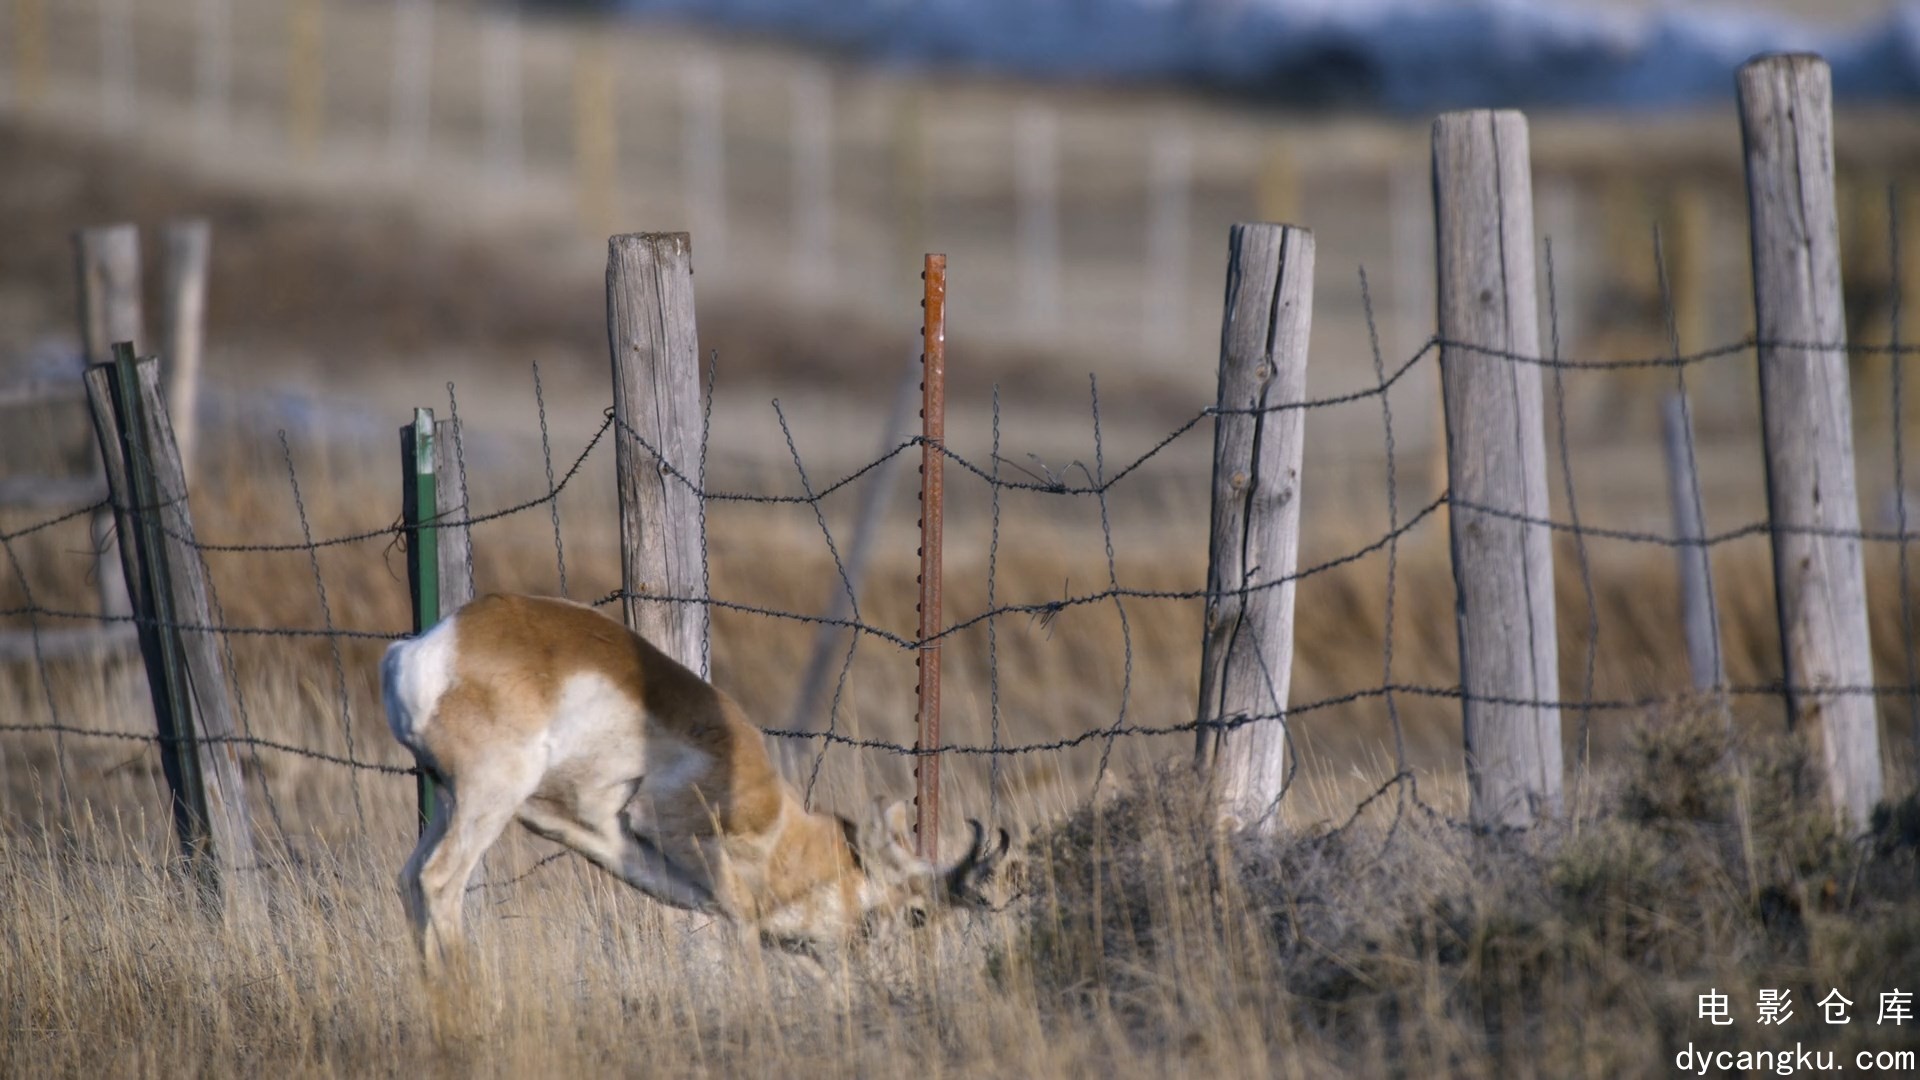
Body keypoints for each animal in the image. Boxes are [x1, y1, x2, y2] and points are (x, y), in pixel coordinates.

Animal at [380, 591, 1013, 960]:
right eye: (917, 914)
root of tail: (426, 646)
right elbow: (746, 934)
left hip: (450, 802)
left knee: (410, 880)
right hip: (489, 798)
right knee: (439, 883)